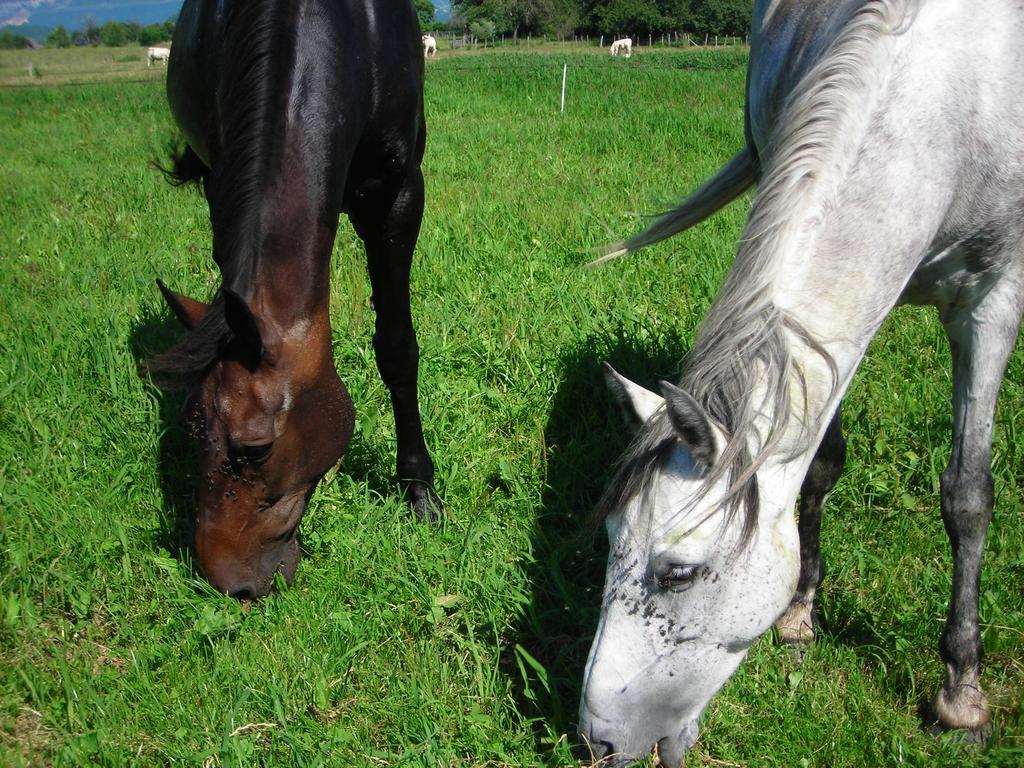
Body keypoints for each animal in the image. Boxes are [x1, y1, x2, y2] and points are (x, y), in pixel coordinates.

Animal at [149, 0, 438, 602]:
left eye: (255, 448)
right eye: (189, 426)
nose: (230, 584)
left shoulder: (399, 197)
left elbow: (397, 348)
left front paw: (420, 492)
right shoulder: (224, 184)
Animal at [581, 0, 1024, 765]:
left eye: (677, 572)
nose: (595, 741)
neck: (954, 98)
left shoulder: (993, 300)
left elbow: (968, 495)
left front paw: (961, 697)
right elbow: (817, 469)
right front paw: (797, 616)